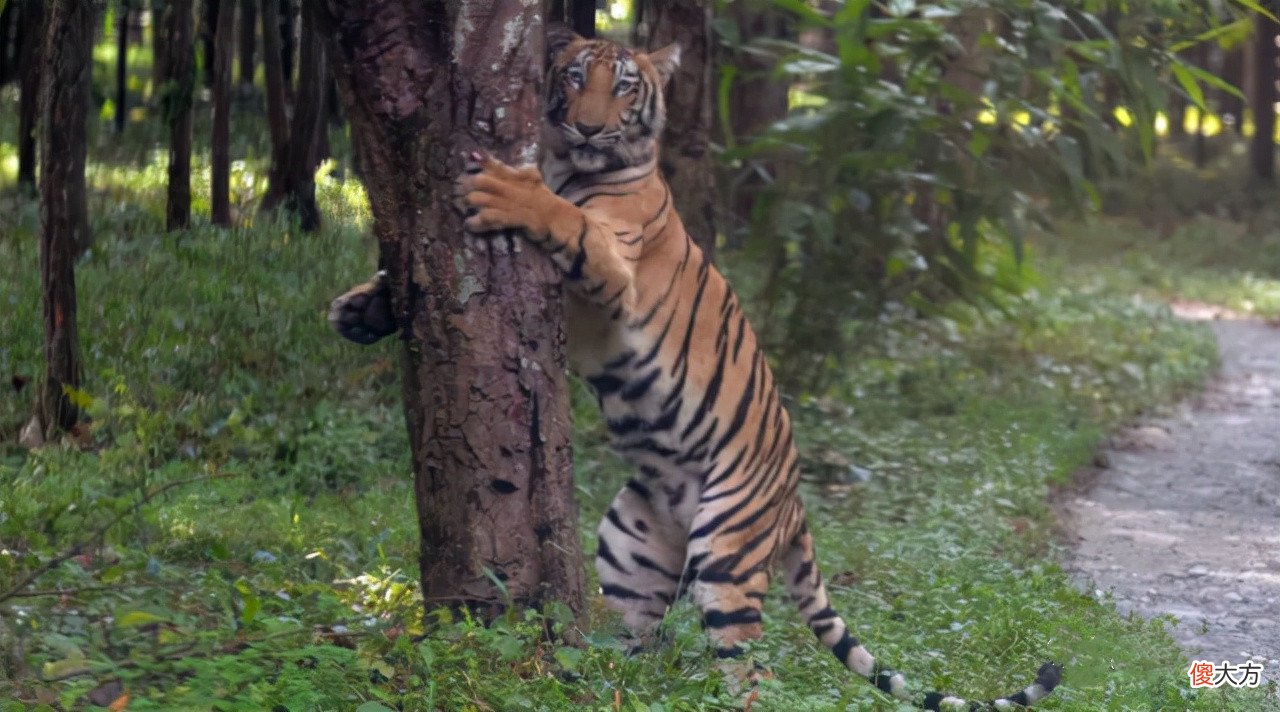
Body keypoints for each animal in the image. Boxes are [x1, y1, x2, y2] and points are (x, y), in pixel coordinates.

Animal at [328, 26, 1061, 711]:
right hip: (630, 545)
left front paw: (508, 190)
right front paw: (359, 311)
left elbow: (563, 217)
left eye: (624, 87)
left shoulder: (610, 273)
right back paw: (608, 682)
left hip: (726, 550)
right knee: (640, 646)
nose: (586, 125)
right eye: (573, 77)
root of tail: (795, 503)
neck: (569, 163)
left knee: (753, 670)